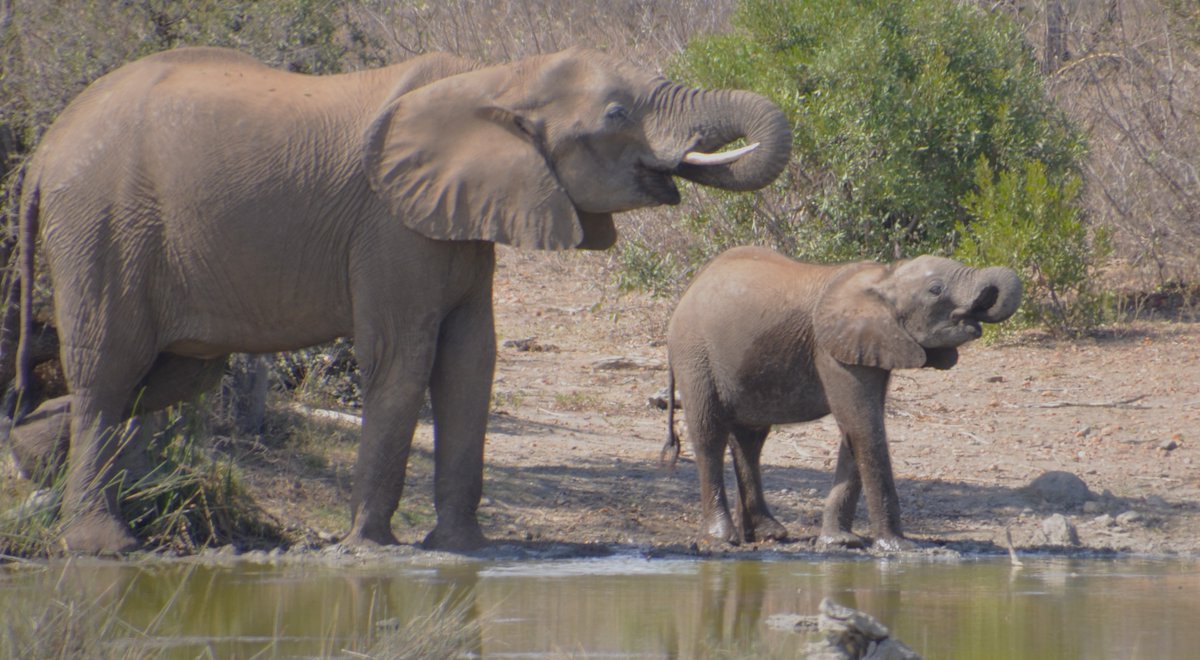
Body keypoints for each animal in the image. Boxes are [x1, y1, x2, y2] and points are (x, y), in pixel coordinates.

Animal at [11, 46, 791, 554]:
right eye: (618, 112)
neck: (496, 78)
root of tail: (45, 149)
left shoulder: (458, 215)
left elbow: (473, 359)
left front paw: (465, 549)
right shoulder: (391, 223)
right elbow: (406, 355)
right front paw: (372, 549)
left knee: (166, 374)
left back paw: (31, 452)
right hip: (103, 226)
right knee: (111, 368)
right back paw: (102, 546)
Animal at [663, 246, 1021, 550]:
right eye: (936, 289)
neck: (885, 277)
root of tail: (690, 288)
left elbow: (855, 430)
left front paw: (841, 542)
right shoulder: (831, 350)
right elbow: (864, 427)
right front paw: (899, 548)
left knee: (750, 439)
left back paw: (768, 533)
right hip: (695, 353)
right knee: (710, 434)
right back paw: (721, 539)